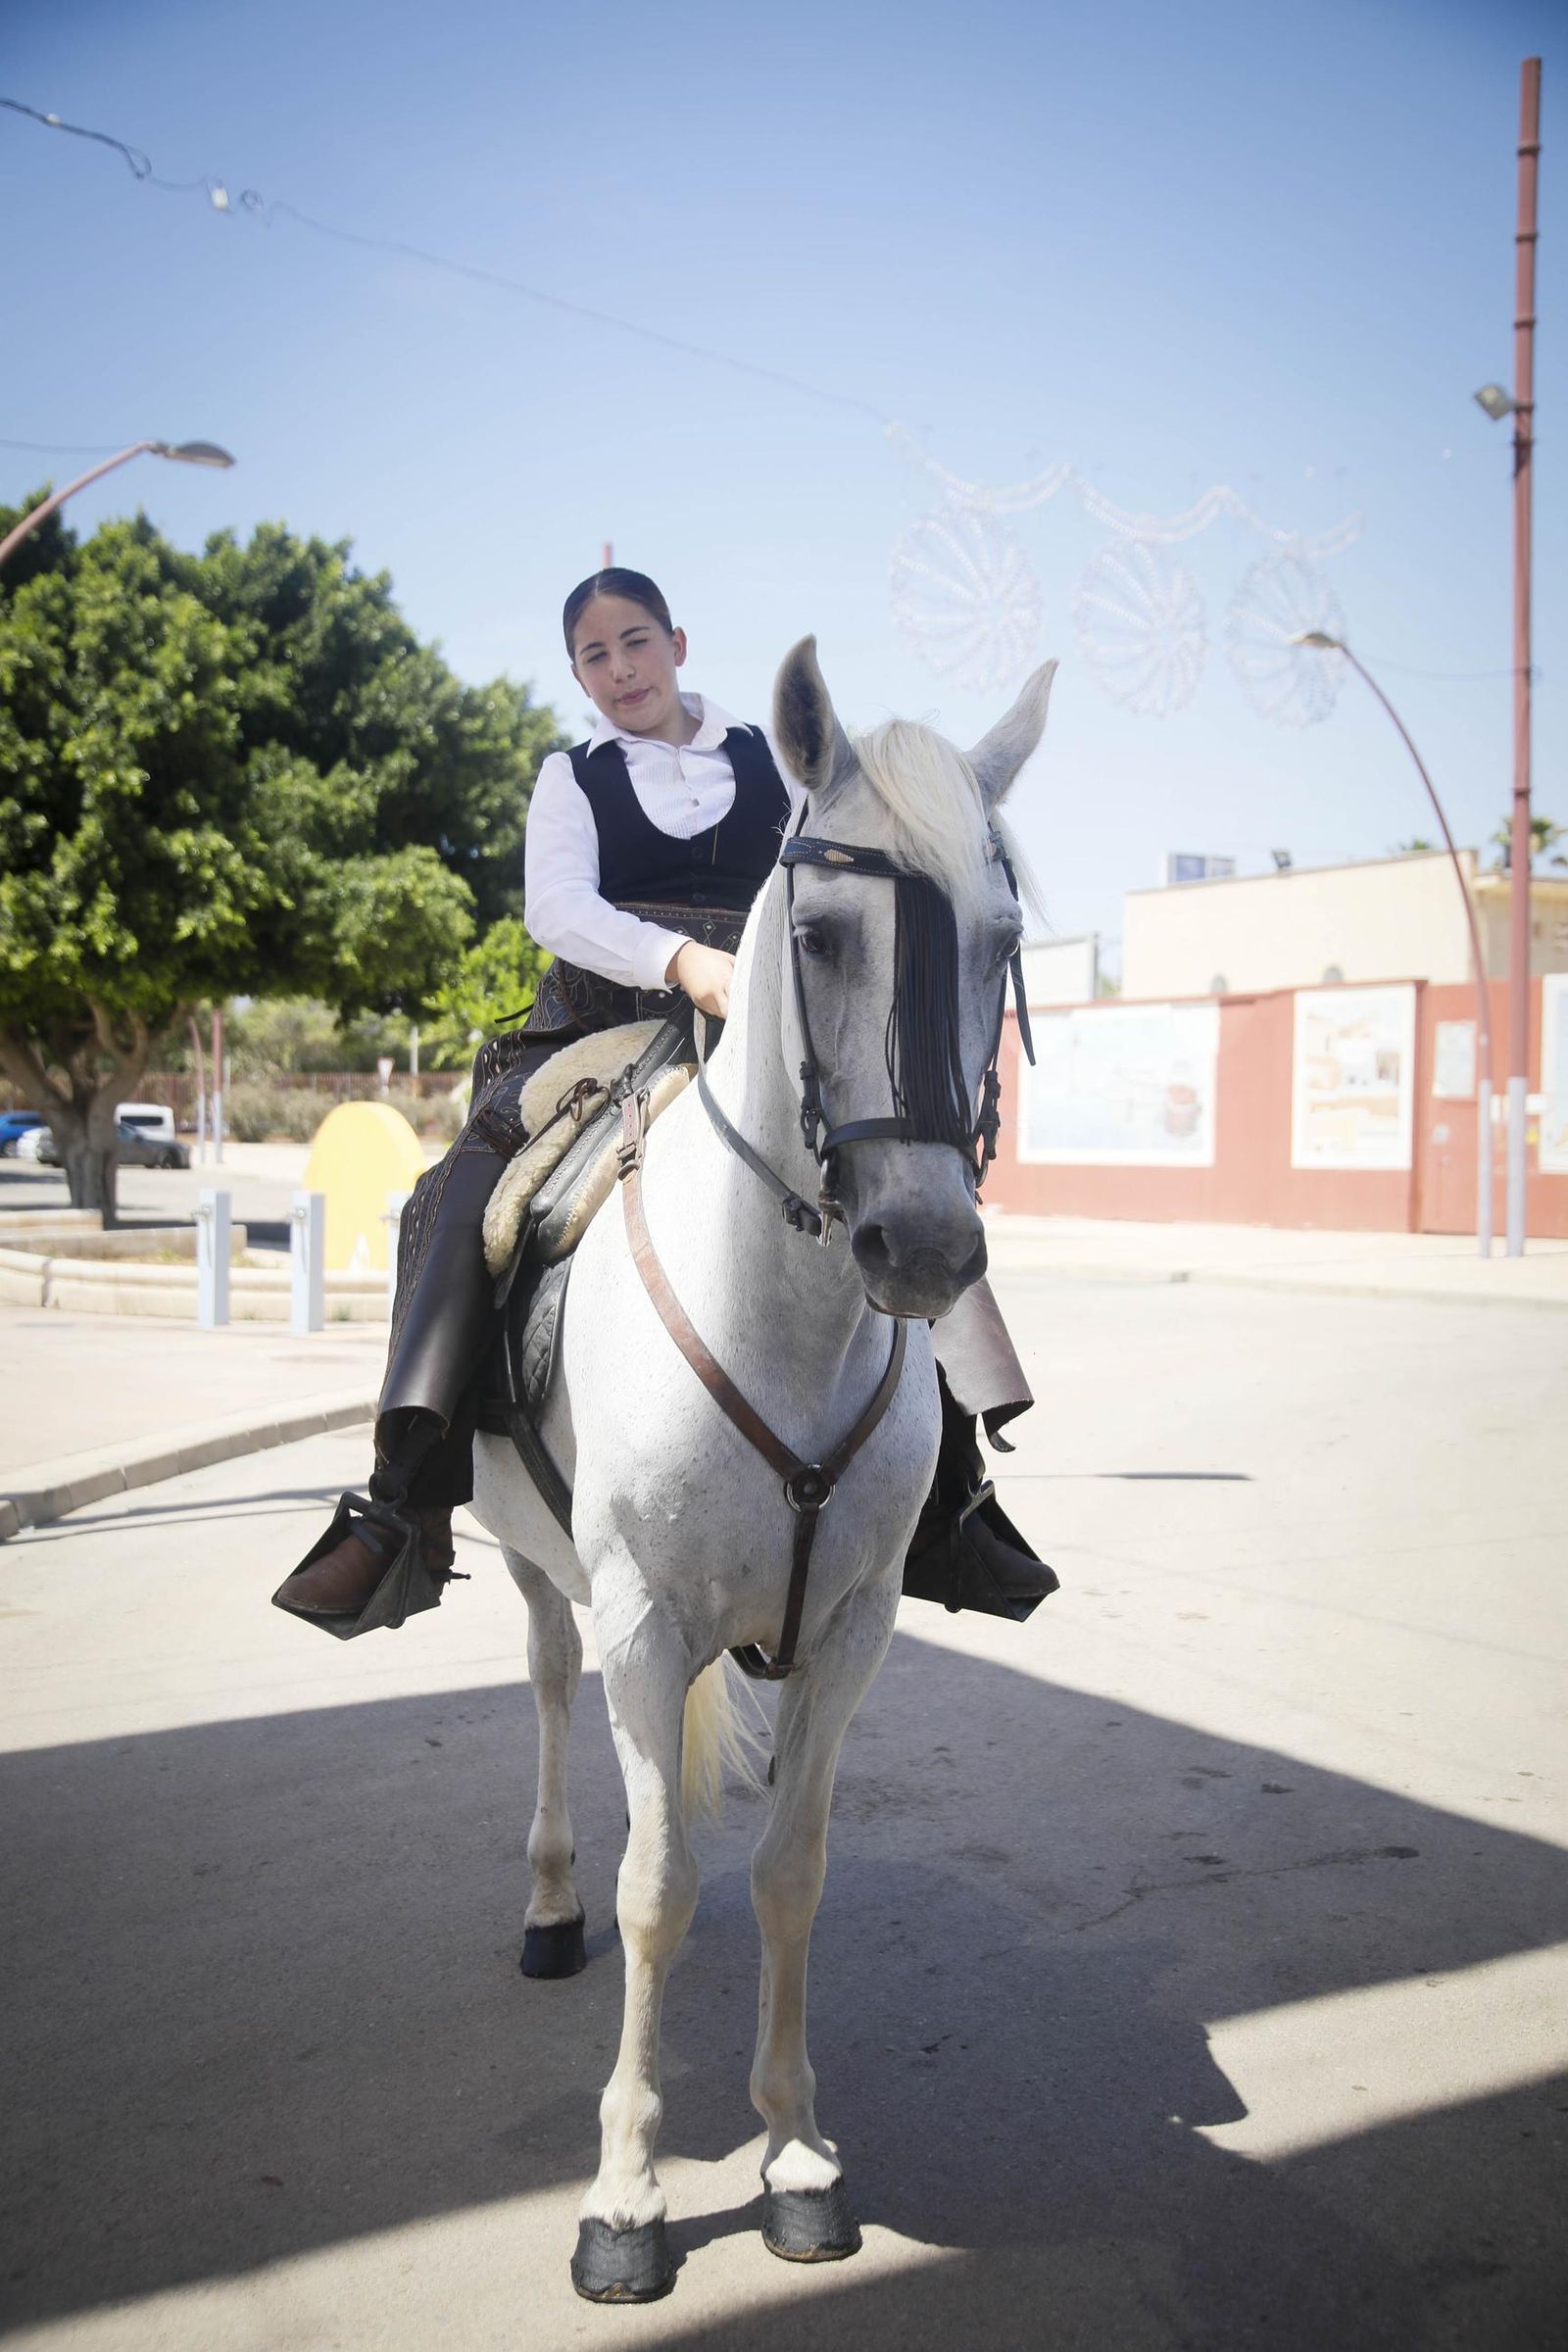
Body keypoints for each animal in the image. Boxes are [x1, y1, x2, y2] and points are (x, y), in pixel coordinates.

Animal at [469, 635, 1056, 2302]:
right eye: (820, 934)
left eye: (1002, 940)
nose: (922, 1247)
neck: (778, 1316)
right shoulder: (641, 1619)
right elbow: (655, 1889)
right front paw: (626, 2194)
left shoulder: (853, 1628)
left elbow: (791, 1868)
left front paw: (794, 2152)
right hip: (536, 1568)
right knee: (551, 1698)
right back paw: (549, 1902)